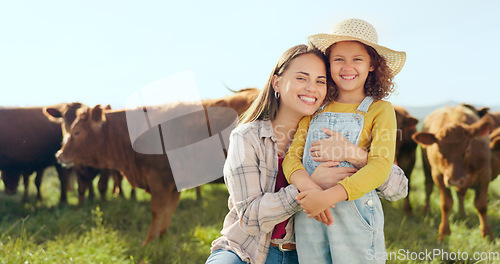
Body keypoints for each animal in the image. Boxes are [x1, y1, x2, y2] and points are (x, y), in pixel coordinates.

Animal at [53, 87, 258, 244]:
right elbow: (168, 212)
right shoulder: (173, 186)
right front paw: (162, 237)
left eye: (77, 132)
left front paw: (148, 242)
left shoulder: (160, 182)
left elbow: (157, 212)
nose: (59, 154)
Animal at [412, 106, 494, 240]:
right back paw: (426, 210)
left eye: (468, 150)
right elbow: (446, 204)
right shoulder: (438, 176)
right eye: (440, 151)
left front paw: (487, 234)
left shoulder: (485, 174)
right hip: (427, 169)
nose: (454, 180)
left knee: (460, 195)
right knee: (428, 188)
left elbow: (481, 205)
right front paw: (444, 232)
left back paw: (462, 214)